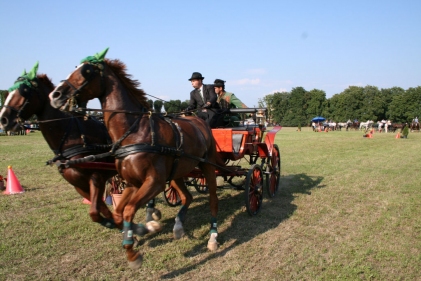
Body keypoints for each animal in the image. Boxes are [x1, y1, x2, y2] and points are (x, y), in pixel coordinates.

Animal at [0, 63, 159, 232]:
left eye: (24, 90)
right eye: (9, 90)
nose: (3, 120)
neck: (72, 137)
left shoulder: (96, 177)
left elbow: (95, 211)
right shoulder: (77, 184)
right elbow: (99, 208)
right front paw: (118, 223)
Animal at [48, 48, 220, 270]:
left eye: (86, 71)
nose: (55, 95)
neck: (136, 132)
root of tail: (198, 119)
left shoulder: (154, 183)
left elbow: (129, 210)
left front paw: (133, 251)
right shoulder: (132, 183)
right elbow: (119, 212)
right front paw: (141, 230)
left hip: (207, 167)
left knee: (213, 199)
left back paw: (213, 237)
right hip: (178, 171)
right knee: (187, 197)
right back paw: (179, 227)